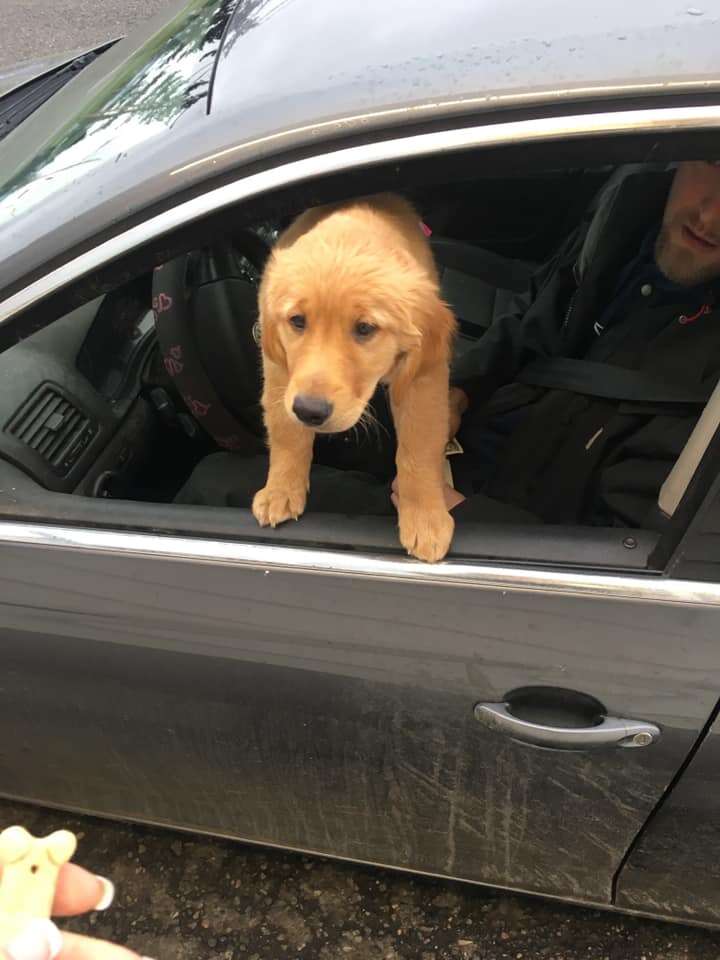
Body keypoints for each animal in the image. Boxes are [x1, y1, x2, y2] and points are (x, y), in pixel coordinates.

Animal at [253, 192, 456, 564]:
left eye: (365, 329)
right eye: (298, 321)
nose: (310, 411)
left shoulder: (424, 375)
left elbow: (419, 446)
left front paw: (426, 519)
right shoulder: (279, 370)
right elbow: (285, 428)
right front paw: (280, 490)